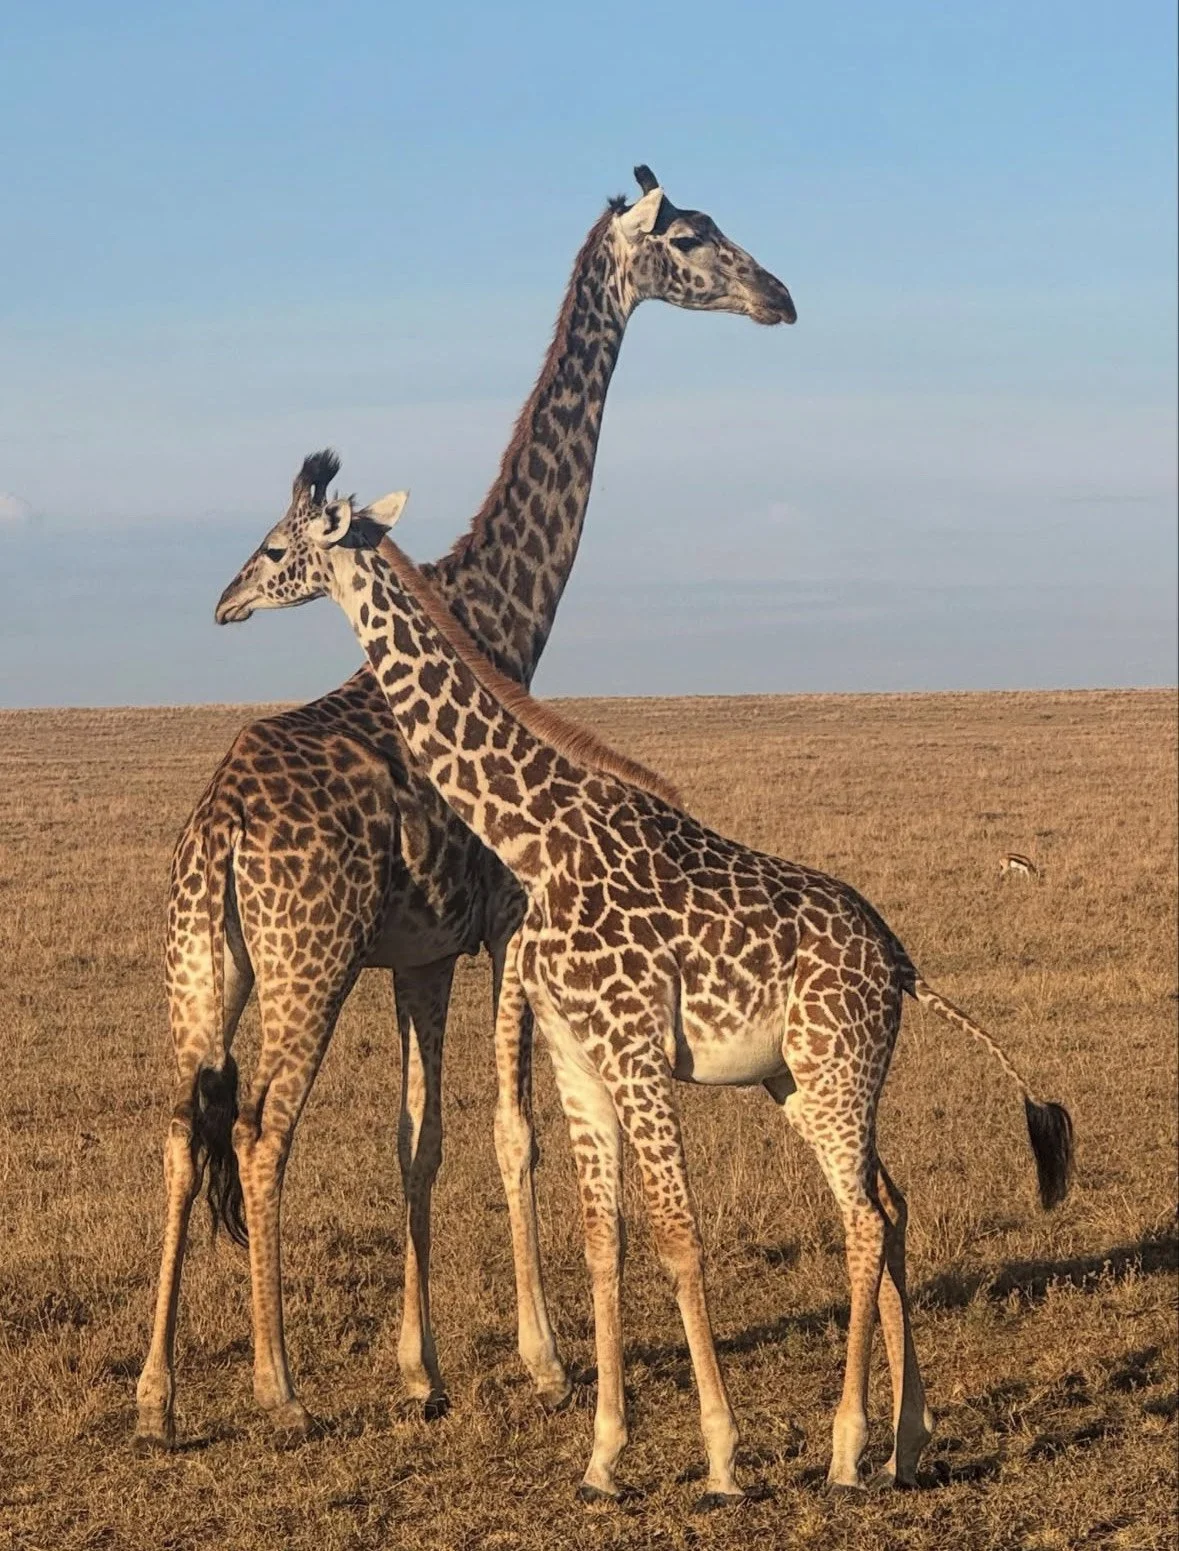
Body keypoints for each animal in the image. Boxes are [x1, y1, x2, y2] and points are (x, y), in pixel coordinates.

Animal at [135, 167, 797, 1449]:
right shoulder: (499, 929)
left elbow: (420, 1142)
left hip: (202, 969)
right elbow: (510, 1134)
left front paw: (421, 1369)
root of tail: (221, 838)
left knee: (184, 1132)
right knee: (260, 1133)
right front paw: (543, 1361)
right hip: (305, 961)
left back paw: (155, 1396)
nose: (780, 298)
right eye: (696, 237)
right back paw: (277, 1386)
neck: (501, 617)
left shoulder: (421, 955)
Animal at [211, 470, 1075, 1505]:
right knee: (889, 1204)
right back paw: (907, 1440)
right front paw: (602, 1454)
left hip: (835, 1069)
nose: (224, 603)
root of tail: (902, 961)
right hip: (803, 1079)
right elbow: (602, 1236)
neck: (536, 834)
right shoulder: (577, 1054)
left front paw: (721, 1456)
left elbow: (675, 1233)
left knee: (865, 1218)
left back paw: (846, 1448)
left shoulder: (631, 1050)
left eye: (274, 547)